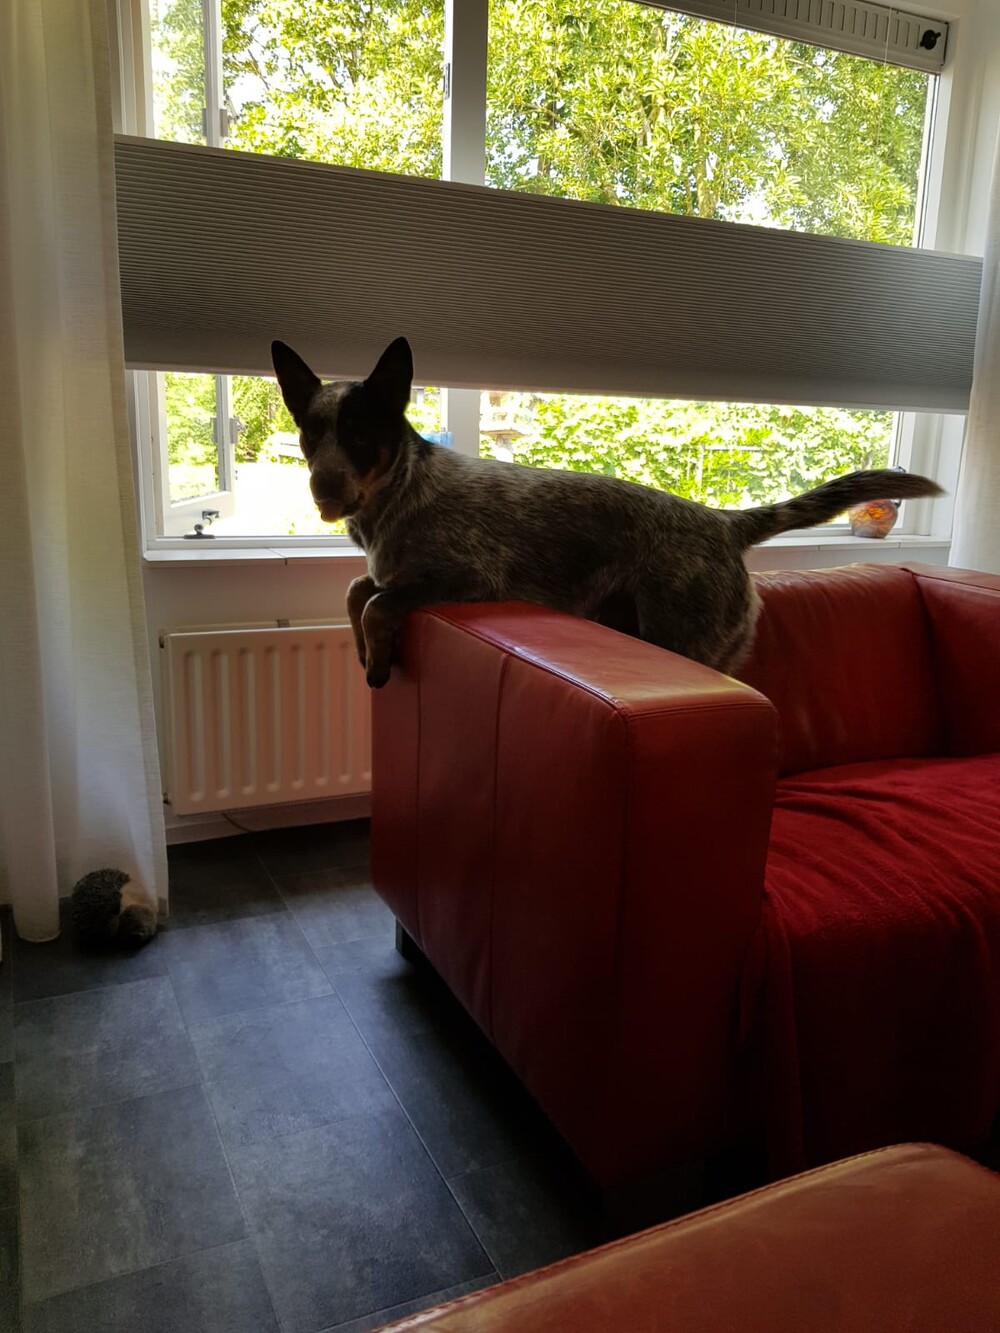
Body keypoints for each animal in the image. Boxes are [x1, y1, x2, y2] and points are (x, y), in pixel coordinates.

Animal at [271, 337, 942, 687]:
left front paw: (376, 658)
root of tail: (722, 522)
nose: (323, 492)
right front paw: (366, 648)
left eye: (360, 436)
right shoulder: (391, 572)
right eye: (310, 435)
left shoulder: (467, 577)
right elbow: (359, 591)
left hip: (684, 637)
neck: (401, 497)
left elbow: (379, 600)